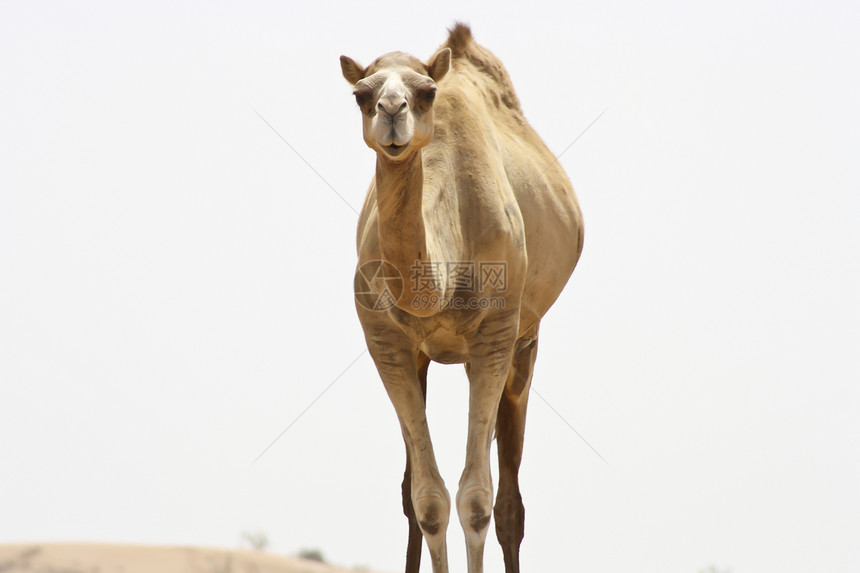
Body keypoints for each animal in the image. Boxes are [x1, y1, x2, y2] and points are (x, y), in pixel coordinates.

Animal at [342, 23, 584, 572]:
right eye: (361, 94)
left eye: (427, 92)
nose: (392, 109)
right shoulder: (386, 341)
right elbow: (427, 499)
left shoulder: (493, 336)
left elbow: (477, 498)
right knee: (412, 489)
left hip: (524, 341)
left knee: (510, 501)